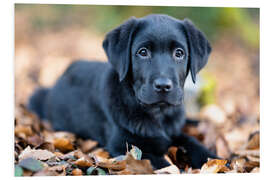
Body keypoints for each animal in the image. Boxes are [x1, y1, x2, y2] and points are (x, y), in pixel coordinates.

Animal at [28, 14, 217, 170]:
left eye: (179, 53)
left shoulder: (174, 132)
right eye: (143, 52)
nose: (163, 86)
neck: (157, 114)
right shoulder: (123, 145)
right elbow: (160, 163)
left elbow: (193, 143)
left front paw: (216, 158)